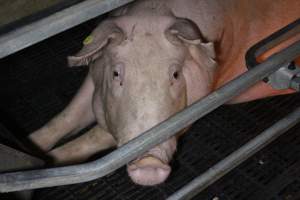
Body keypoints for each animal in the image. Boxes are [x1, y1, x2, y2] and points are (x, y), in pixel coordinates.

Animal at [28, 0, 300, 186]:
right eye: (116, 74)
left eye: (176, 75)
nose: (149, 163)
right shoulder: (93, 79)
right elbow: (66, 117)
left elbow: (93, 137)